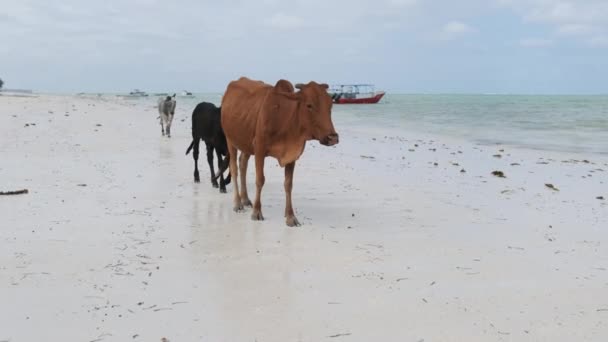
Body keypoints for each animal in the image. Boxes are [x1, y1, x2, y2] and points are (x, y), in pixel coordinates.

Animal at [221, 77, 340, 227]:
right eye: (309, 105)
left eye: (330, 105)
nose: (333, 138)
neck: (285, 118)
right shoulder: (259, 149)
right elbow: (260, 180)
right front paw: (257, 212)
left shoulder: (292, 155)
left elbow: (288, 184)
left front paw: (290, 216)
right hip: (230, 140)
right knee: (234, 169)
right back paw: (237, 203)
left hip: (246, 143)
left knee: (243, 165)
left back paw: (246, 199)